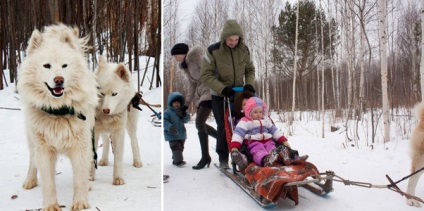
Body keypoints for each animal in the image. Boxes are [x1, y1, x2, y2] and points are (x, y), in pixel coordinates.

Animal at [18, 24, 97, 209]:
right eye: (47, 66)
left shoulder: (81, 146)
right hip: (32, 139)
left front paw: (80, 202)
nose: (59, 80)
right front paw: (50, 206)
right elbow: (48, 182)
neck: (58, 111)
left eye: (64, 66)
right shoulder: (44, 149)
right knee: (32, 160)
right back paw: (30, 181)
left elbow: (79, 178)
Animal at [91, 55, 142, 185]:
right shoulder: (94, 131)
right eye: (101, 93)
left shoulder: (118, 133)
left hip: (130, 125)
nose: (106, 110)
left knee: (134, 141)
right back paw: (104, 159)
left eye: (114, 94)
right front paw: (90, 177)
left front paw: (118, 178)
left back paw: (137, 161)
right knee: (106, 141)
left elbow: (118, 159)